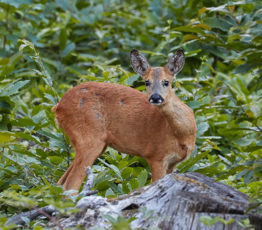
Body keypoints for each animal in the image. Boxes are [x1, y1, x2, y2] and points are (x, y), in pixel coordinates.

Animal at [52, 49, 196, 192]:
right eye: (146, 82)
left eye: (166, 82)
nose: (155, 97)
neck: (181, 134)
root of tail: (58, 107)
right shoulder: (156, 155)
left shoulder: (173, 162)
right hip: (88, 138)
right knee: (70, 185)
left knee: (61, 182)